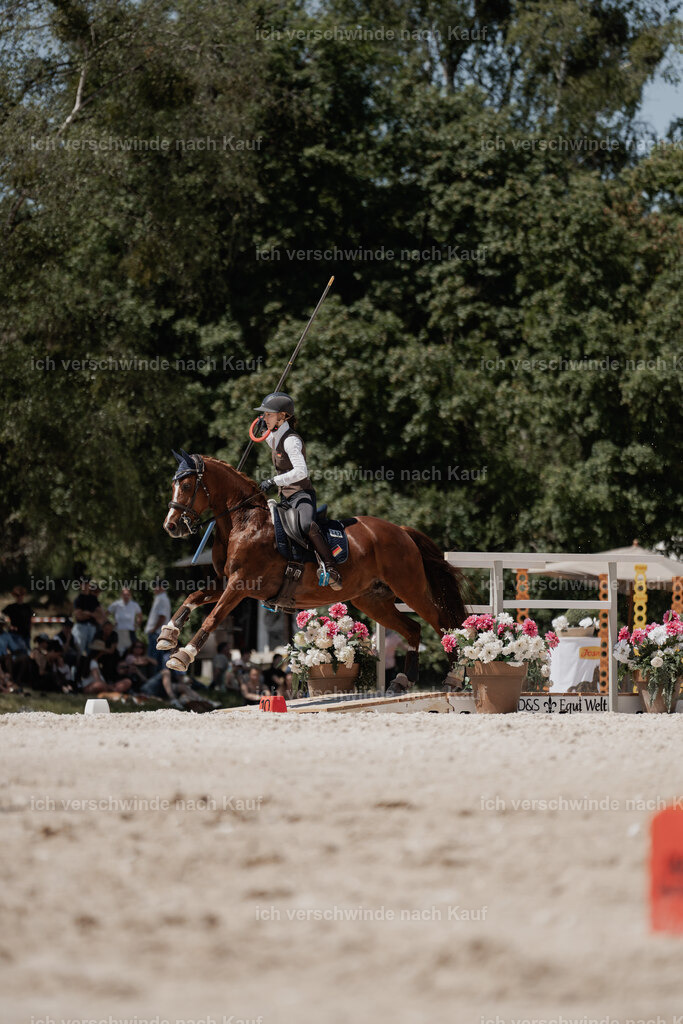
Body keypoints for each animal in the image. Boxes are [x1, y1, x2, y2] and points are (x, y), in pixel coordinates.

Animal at [160, 454, 467, 679]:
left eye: (186, 486)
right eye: (173, 485)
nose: (171, 526)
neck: (243, 522)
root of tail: (401, 531)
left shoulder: (240, 584)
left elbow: (212, 618)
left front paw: (182, 656)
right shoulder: (227, 582)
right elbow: (193, 596)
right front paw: (168, 634)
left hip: (409, 589)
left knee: (442, 624)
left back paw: (454, 677)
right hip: (373, 601)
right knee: (413, 629)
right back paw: (403, 681)